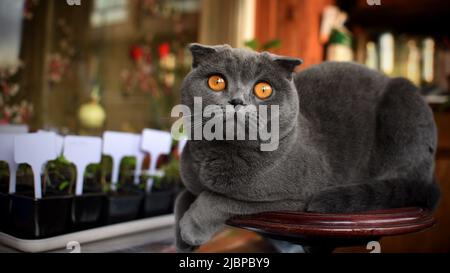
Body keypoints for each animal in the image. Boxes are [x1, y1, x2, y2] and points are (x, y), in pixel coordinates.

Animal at [174, 44, 442, 251]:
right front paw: (182, 240)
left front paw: (191, 228)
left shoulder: (291, 199)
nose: (237, 101)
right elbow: (181, 196)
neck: (221, 152)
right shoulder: (190, 178)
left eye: (263, 89)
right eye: (217, 81)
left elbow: (221, 199)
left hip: (404, 105)